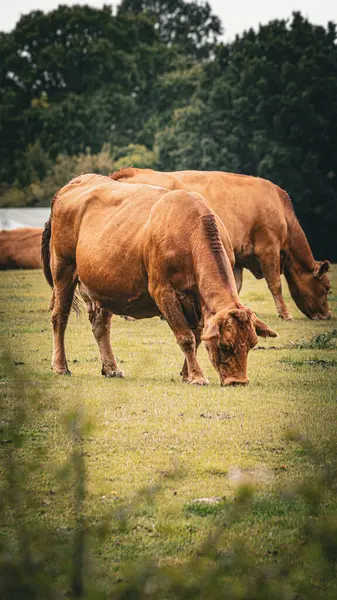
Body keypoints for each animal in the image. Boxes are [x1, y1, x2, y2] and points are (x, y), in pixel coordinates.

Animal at [41, 173, 276, 386]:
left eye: (252, 344)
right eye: (226, 345)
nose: (239, 381)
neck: (190, 232)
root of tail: (75, 182)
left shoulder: (197, 301)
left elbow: (197, 335)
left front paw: (187, 374)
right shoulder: (163, 292)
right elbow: (186, 337)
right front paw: (197, 376)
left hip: (104, 288)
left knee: (101, 326)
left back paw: (111, 368)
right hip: (63, 269)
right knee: (59, 317)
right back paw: (60, 366)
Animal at [111, 166, 330, 322]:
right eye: (327, 288)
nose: (327, 315)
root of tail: (133, 171)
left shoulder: (238, 257)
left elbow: (236, 285)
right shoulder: (268, 247)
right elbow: (275, 283)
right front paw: (285, 314)